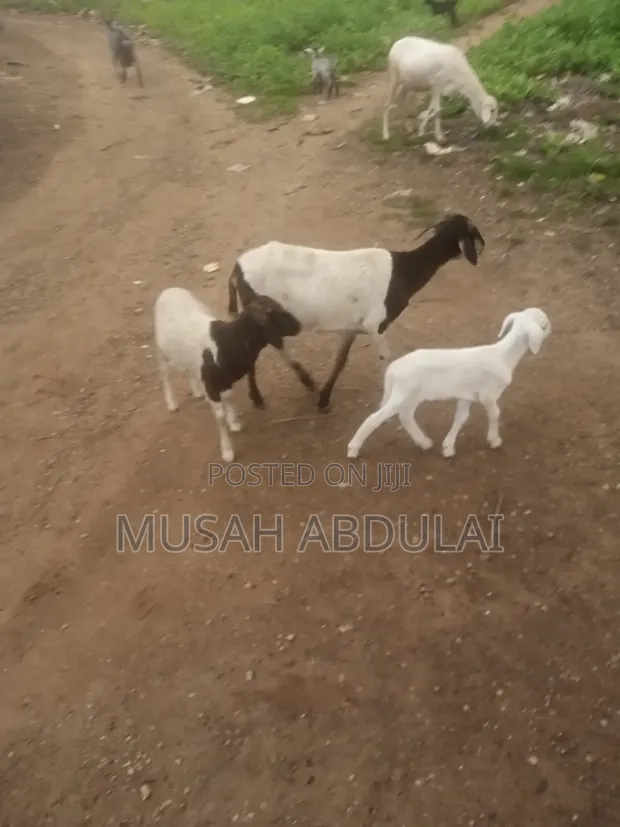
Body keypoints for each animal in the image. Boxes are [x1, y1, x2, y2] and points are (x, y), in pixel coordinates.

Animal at [154, 286, 301, 462]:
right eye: (272, 312)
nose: (298, 325)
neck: (227, 342)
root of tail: (169, 290)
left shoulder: (225, 381)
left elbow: (230, 397)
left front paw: (234, 422)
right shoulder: (212, 387)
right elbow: (220, 417)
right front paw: (227, 450)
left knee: (190, 370)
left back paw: (197, 391)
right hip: (162, 352)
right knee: (164, 374)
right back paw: (172, 403)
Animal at [227, 213, 486, 413]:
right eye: (472, 231)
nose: (484, 246)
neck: (403, 271)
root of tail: (237, 267)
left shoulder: (352, 325)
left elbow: (341, 360)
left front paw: (324, 400)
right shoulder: (376, 324)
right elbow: (385, 359)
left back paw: (270, 394)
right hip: (264, 314)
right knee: (270, 343)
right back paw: (297, 384)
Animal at [347, 307, 551, 460]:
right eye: (544, 325)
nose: (552, 328)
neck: (504, 355)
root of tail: (392, 369)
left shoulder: (467, 395)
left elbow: (461, 417)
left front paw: (448, 447)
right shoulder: (489, 395)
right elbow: (494, 414)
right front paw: (494, 440)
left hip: (411, 396)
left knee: (405, 416)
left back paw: (424, 443)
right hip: (402, 393)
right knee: (374, 419)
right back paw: (353, 449)